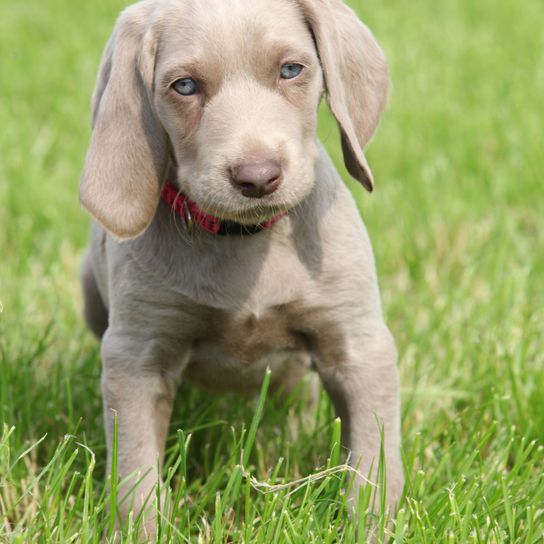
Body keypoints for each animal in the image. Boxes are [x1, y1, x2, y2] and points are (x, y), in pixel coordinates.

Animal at [79, 0, 404, 532]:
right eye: (184, 86)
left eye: (291, 70)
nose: (257, 177)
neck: (245, 238)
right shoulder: (136, 358)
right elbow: (135, 477)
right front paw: (142, 531)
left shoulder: (360, 345)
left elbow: (375, 464)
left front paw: (373, 526)